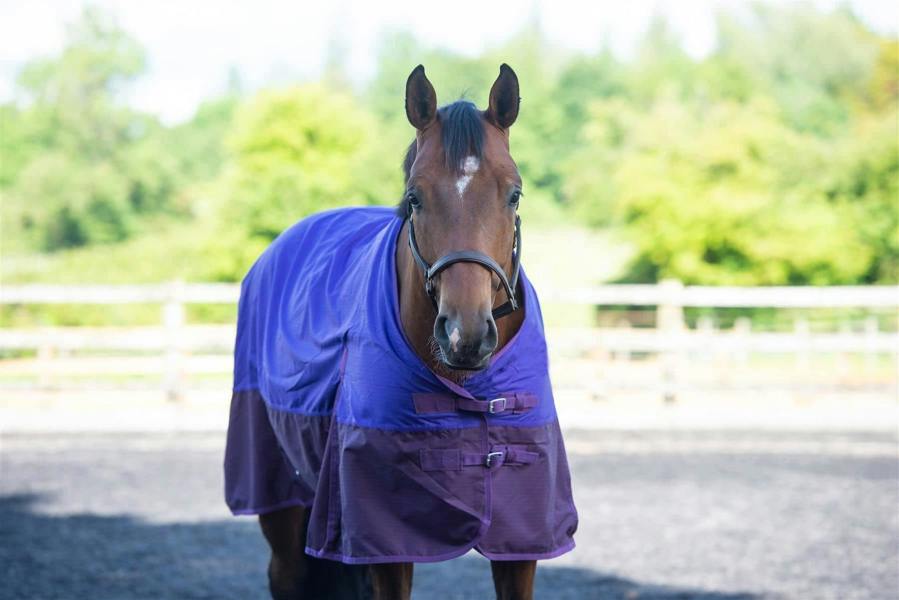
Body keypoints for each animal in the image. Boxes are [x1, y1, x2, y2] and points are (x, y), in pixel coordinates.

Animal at [224, 64, 578, 600]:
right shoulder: (386, 542)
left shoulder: (522, 541)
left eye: (514, 193)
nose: (464, 334)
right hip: (279, 497)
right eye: (415, 197)